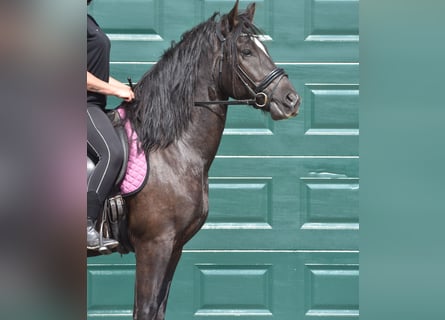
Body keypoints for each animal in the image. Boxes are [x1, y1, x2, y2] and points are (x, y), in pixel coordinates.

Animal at [88, 1, 298, 318]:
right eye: (246, 51)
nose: (291, 100)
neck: (169, 150)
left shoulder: (175, 247)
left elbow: (158, 308)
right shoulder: (154, 245)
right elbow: (145, 309)